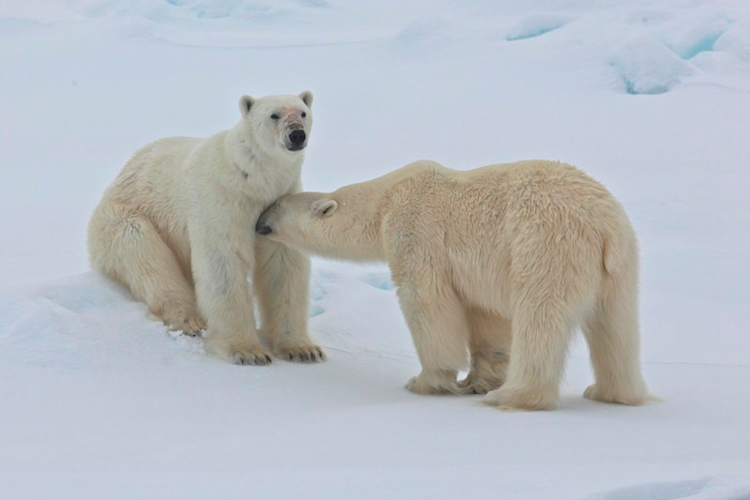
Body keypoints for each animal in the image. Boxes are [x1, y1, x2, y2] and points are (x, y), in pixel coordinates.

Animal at [88, 91, 325, 365]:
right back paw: (189, 321)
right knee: (146, 256)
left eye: (303, 113)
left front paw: (303, 349)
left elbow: (283, 266)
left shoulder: (278, 204)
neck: (252, 179)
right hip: (124, 217)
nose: (296, 134)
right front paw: (248, 351)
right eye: (274, 115)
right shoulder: (223, 200)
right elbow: (223, 263)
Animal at [255, 159, 650, 410]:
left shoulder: (415, 231)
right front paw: (476, 381)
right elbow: (485, 315)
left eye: (276, 205)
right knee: (615, 325)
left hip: (547, 244)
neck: (386, 199)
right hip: (620, 265)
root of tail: (603, 226)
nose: (258, 222)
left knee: (541, 316)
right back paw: (611, 391)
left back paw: (512, 397)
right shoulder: (476, 270)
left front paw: (427, 382)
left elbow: (426, 302)